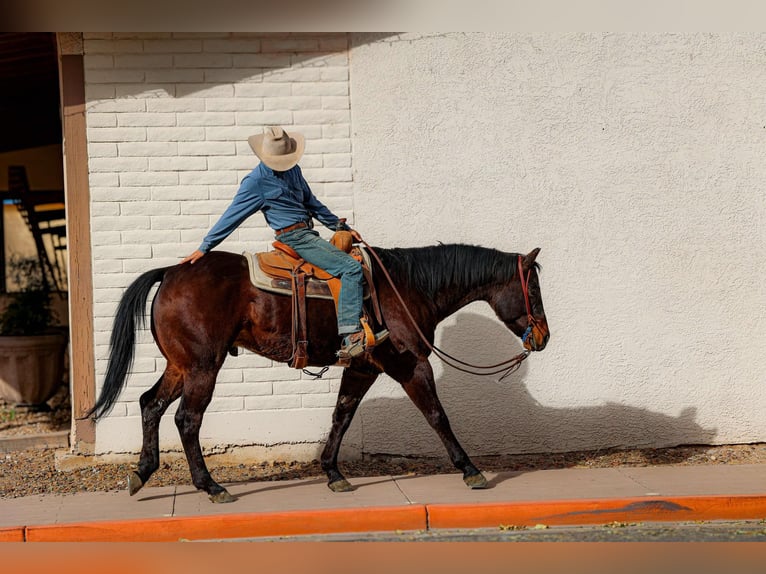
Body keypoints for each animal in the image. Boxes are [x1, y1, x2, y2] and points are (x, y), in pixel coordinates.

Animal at [85, 243, 552, 504]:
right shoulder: (409, 365)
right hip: (202, 366)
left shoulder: (363, 367)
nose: (544, 336)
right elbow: (438, 415)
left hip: (181, 365)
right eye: (533, 288)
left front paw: (332, 473)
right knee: (187, 419)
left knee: (151, 404)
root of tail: (170, 272)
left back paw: (142, 472)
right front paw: (471, 469)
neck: (404, 286)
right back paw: (211, 486)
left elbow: (341, 416)